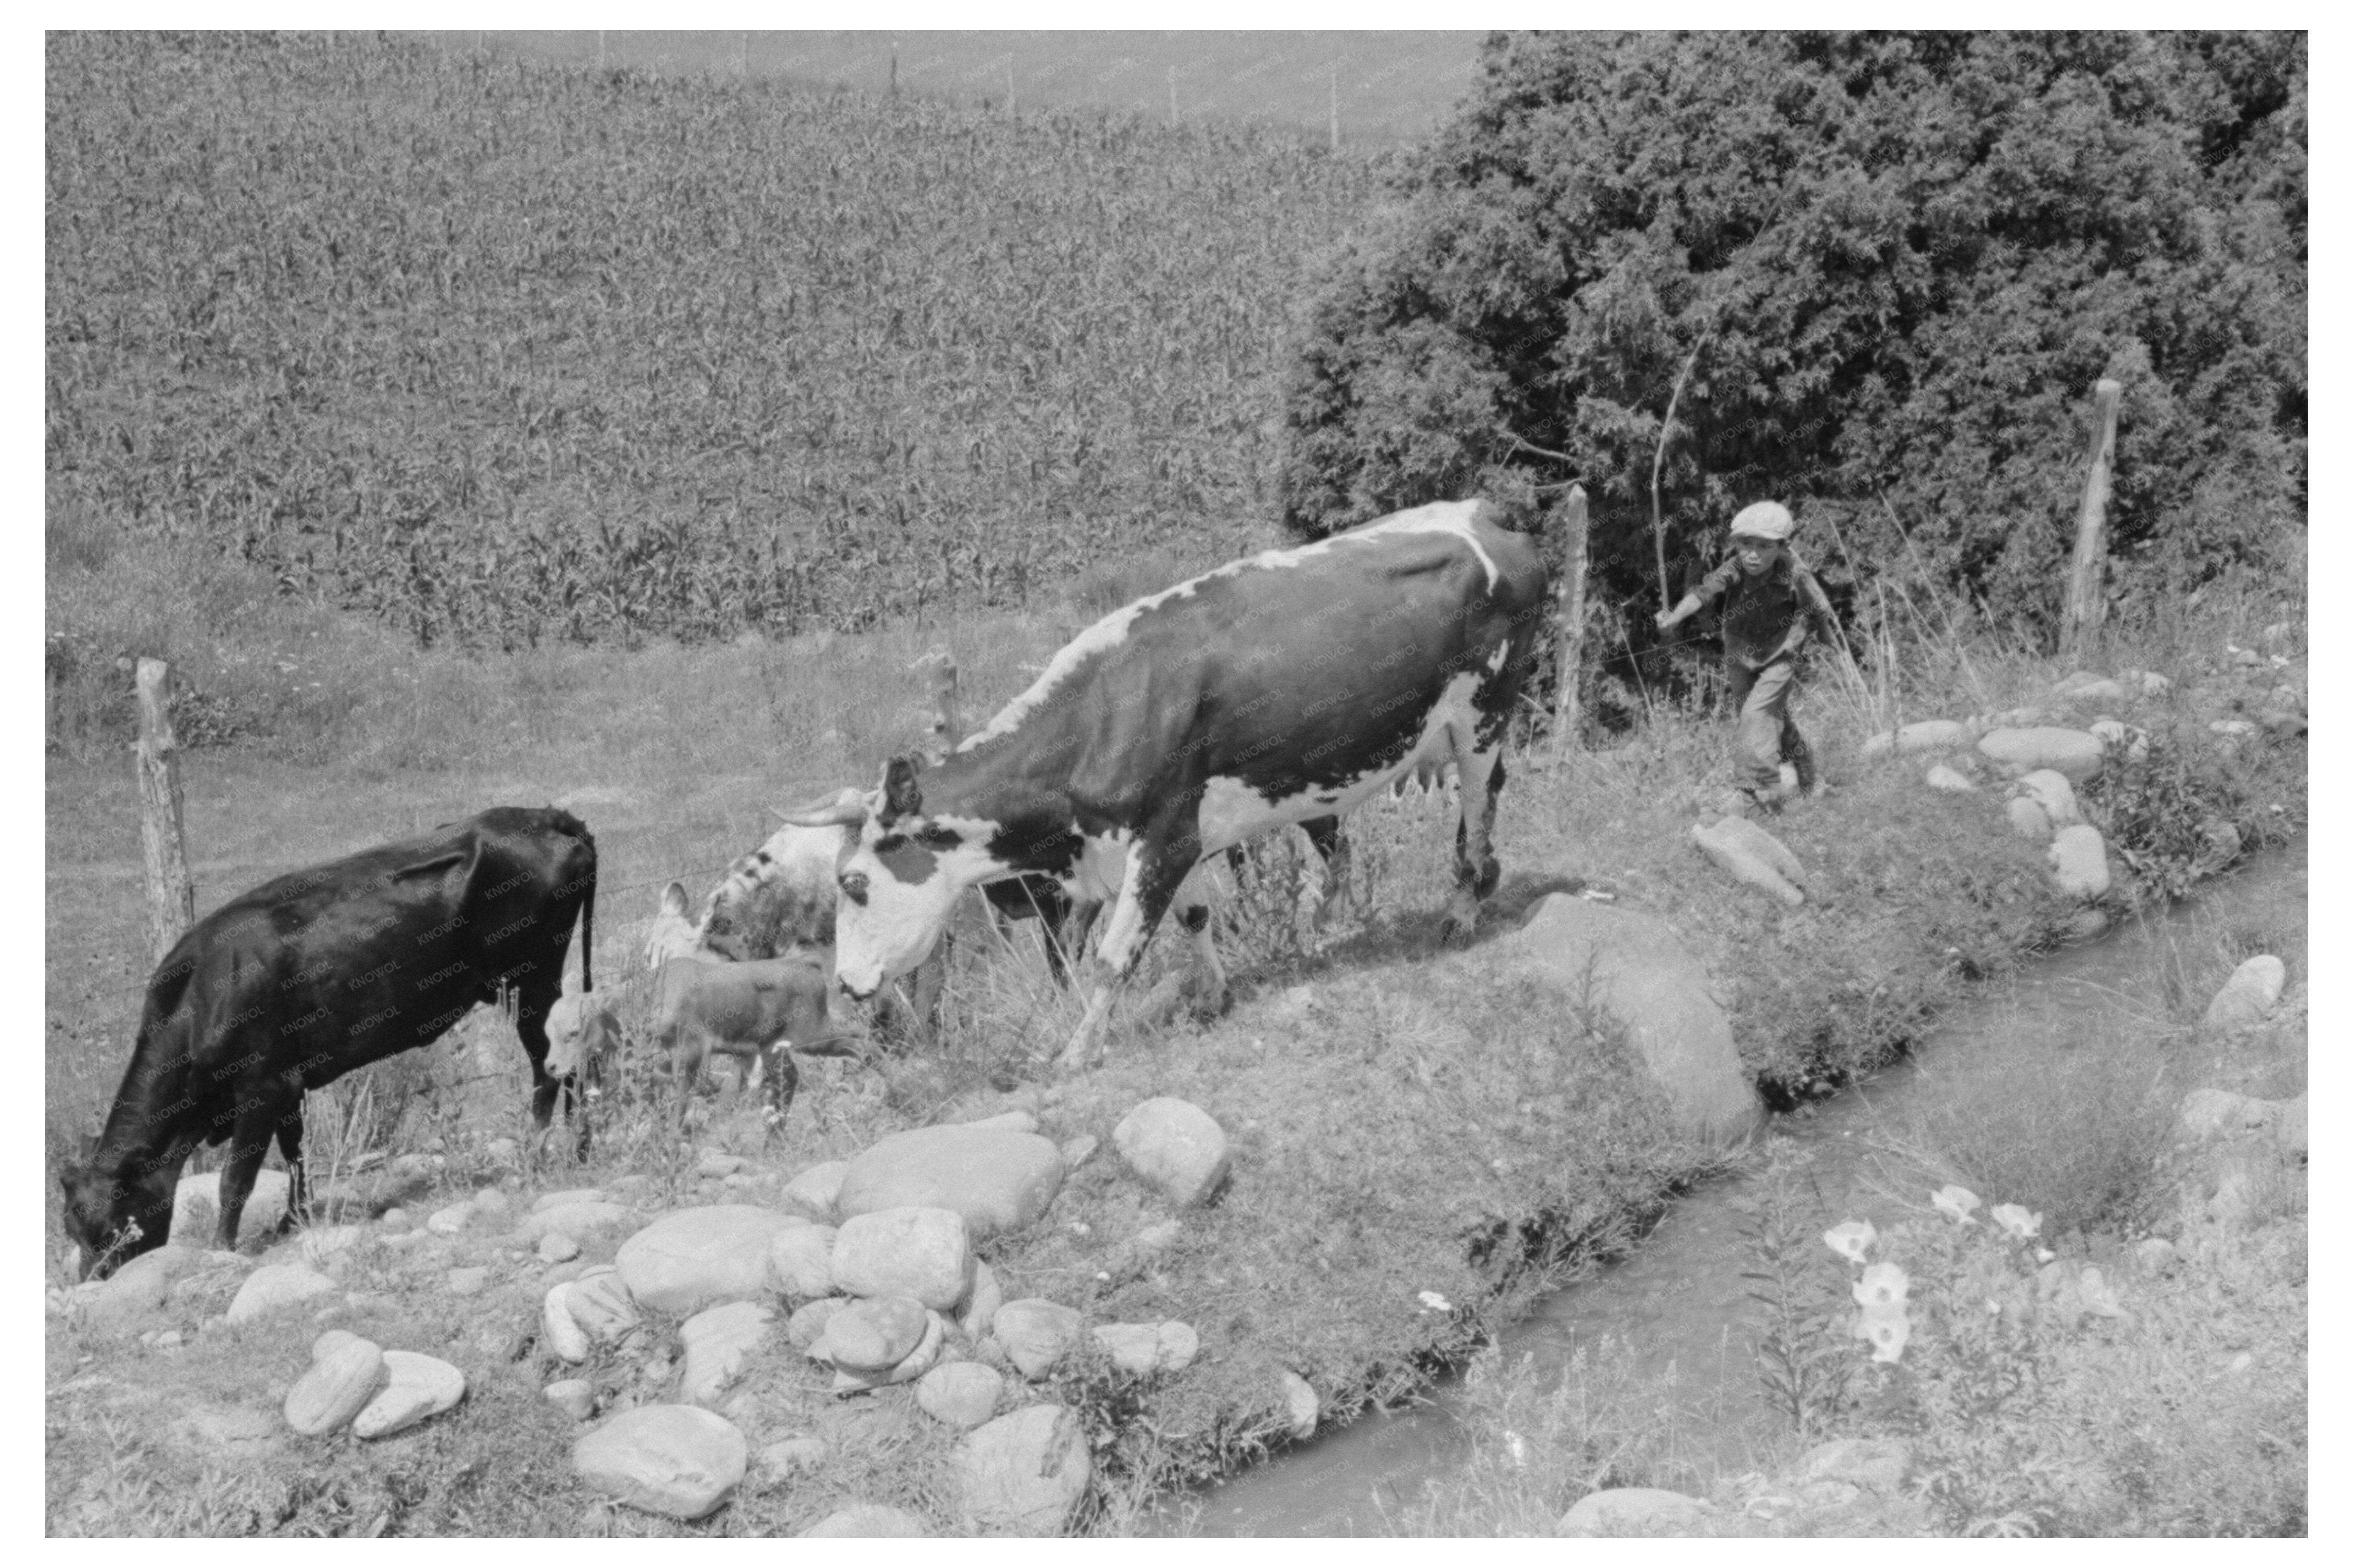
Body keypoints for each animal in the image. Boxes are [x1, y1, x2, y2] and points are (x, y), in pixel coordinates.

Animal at [58, 805, 598, 1271]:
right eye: (73, 1232)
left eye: (110, 1230)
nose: (93, 1281)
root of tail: (547, 815)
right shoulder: (287, 1082)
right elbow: (295, 1154)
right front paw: (292, 1220)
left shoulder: (260, 1086)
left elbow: (236, 1178)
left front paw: (222, 1247)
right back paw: (581, 1149)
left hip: (532, 977)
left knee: (550, 1066)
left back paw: (539, 1153)